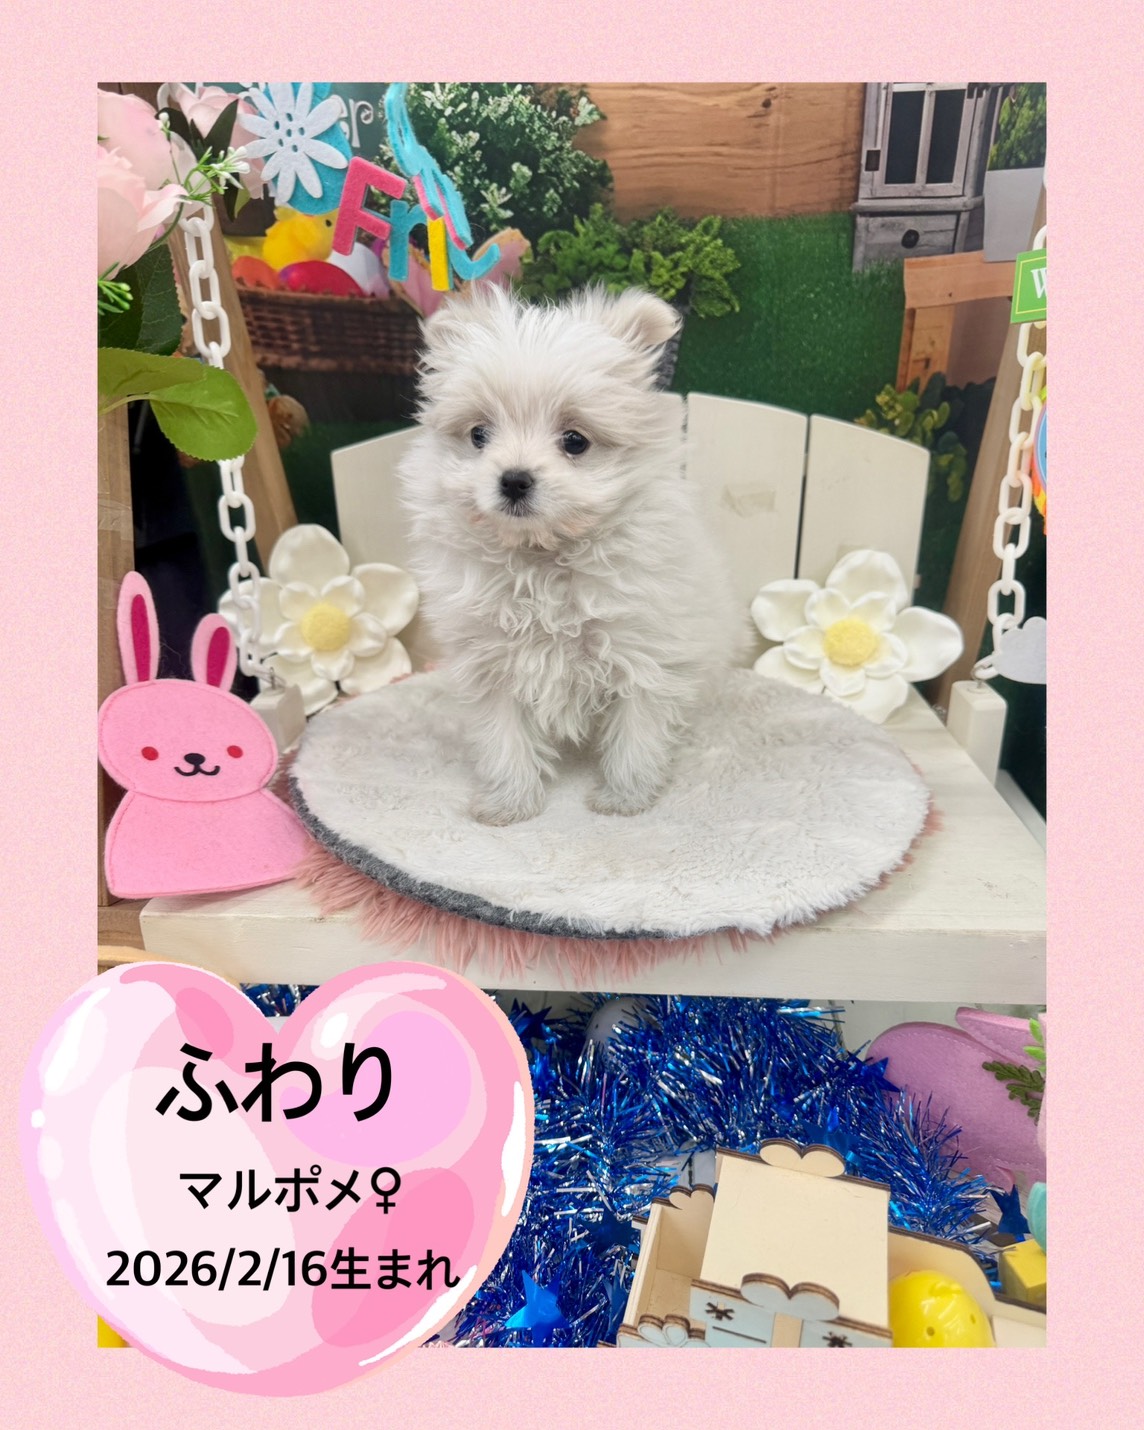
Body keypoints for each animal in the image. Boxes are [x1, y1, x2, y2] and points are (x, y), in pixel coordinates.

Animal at [398, 283, 745, 825]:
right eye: (479, 435)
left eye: (575, 441)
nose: (514, 479)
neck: (543, 557)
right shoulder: (492, 662)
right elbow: (504, 737)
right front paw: (510, 803)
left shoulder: (643, 652)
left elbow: (637, 730)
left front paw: (625, 798)